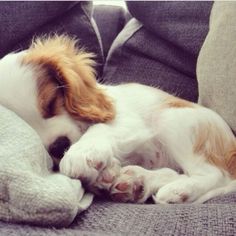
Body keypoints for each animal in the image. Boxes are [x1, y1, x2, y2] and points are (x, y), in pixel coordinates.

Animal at [0, 34, 236, 203]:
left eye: (50, 103)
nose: (60, 146)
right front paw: (104, 174)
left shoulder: (126, 119)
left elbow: (100, 128)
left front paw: (81, 153)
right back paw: (138, 182)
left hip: (172, 118)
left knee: (216, 175)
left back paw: (179, 190)